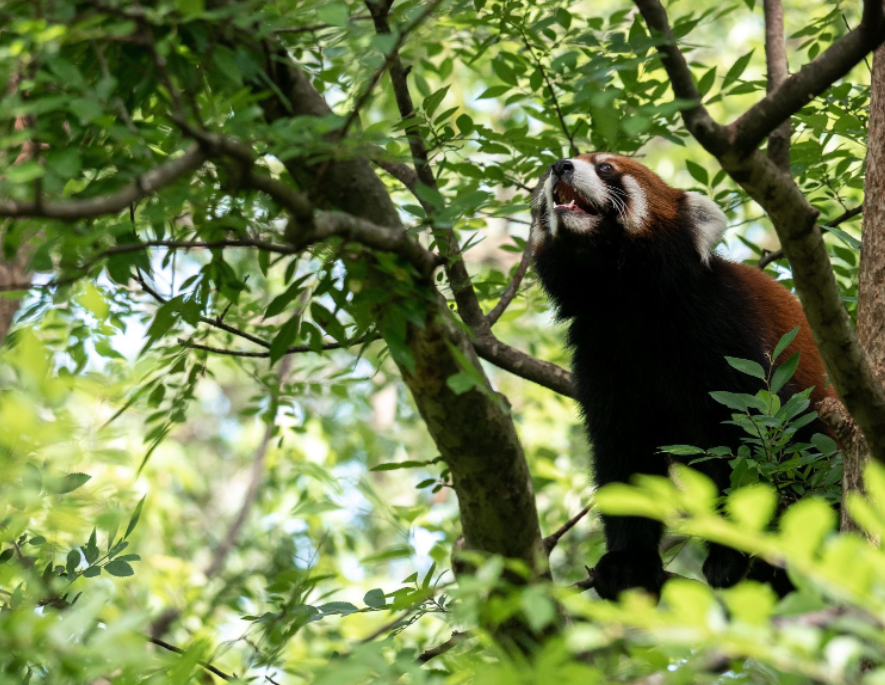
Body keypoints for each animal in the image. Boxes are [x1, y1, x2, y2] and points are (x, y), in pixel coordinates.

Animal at [532, 151, 836, 600]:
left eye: (605, 167)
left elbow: (744, 447)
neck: (628, 299)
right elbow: (625, 457)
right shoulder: (602, 353)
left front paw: (732, 555)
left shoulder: (723, 333)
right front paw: (628, 562)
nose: (560, 166)